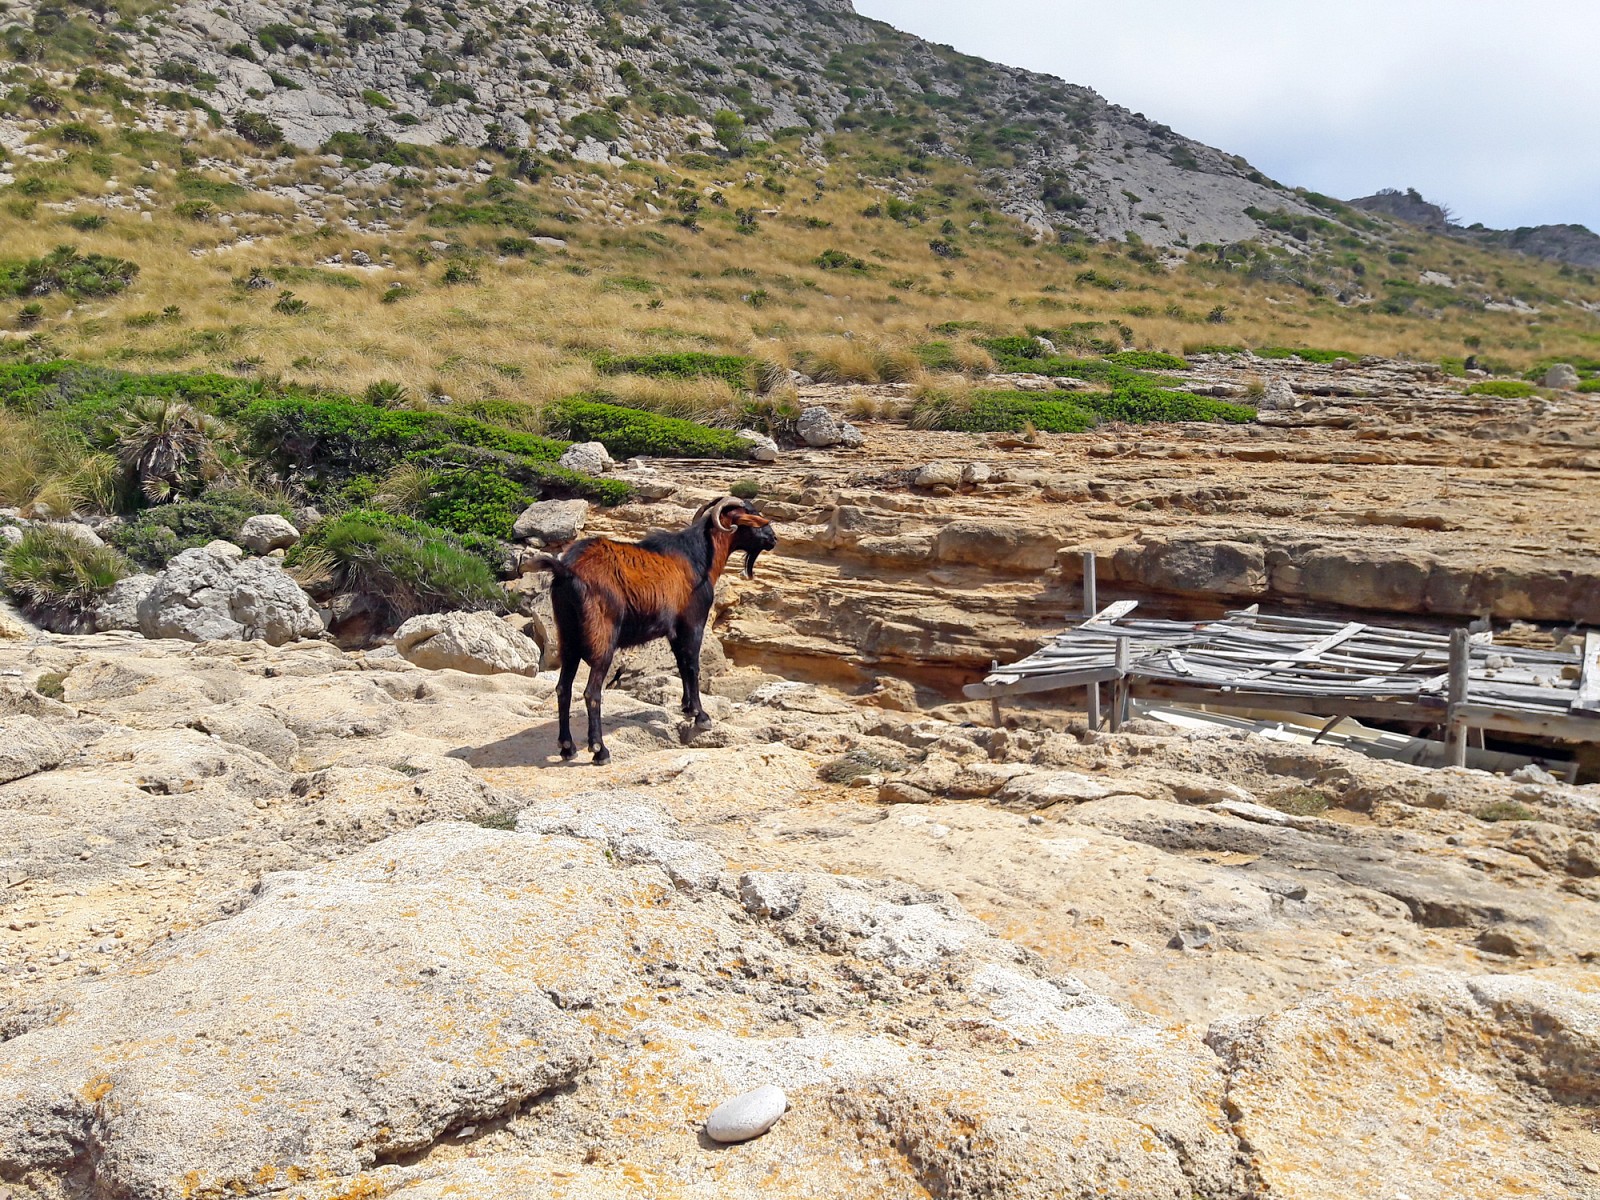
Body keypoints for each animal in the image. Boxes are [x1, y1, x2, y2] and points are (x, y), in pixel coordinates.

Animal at [531, 496, 774, 761]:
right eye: (750, 515)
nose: (772, 537)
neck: (697, 557)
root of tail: (567, 571)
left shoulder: (674, 631)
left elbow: (681, 664)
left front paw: (687, 708)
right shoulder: (693, 622)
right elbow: (693, 666)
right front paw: (701, 716)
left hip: (568, 637)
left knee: (563, 688)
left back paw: (567, 747)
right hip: (602, 640)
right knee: (591, 693)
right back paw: (600, 750)